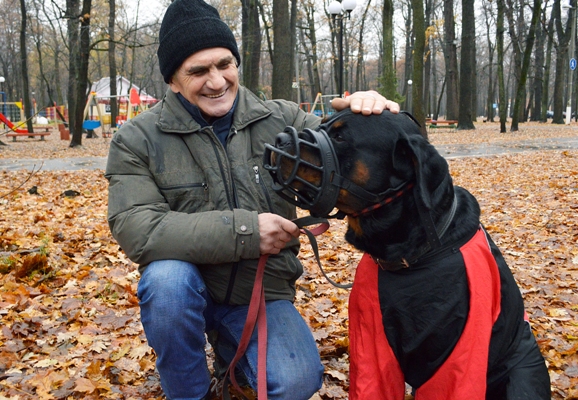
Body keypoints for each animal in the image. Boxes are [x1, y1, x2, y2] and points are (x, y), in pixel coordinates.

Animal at [264, 110, 548, 400]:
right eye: (321, 125)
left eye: (341, 136)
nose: (280, 137)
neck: (411, 257)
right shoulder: (372, 341)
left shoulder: (456, 355)